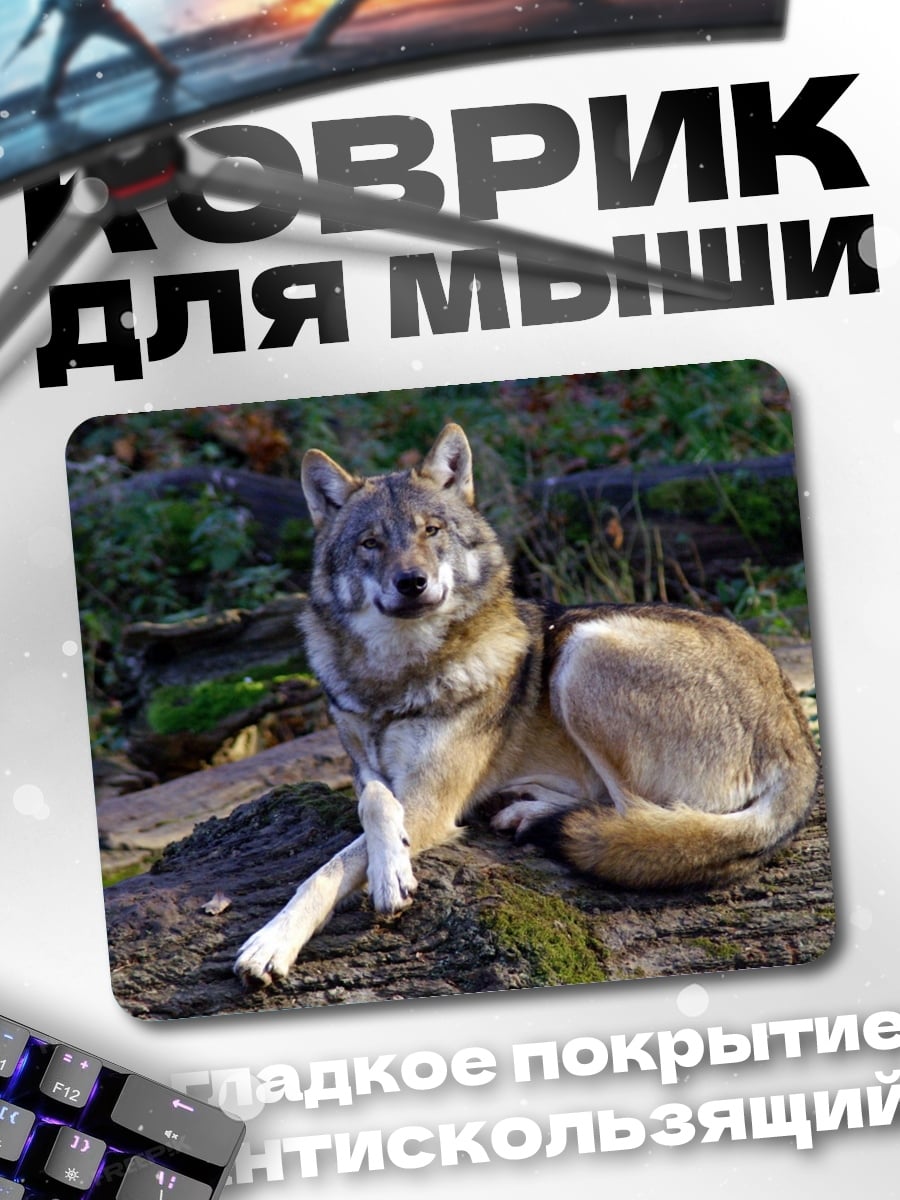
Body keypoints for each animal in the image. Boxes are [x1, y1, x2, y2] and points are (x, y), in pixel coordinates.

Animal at [234, 423, 818, 986]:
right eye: (370, 543)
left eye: (432, 530)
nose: (412, 582)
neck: (396, 676)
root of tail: (798, 738)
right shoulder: (367, 770)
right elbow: (374, 803)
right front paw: (385, 865)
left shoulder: (432, 801)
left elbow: (332, 865)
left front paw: (279, 938)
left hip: (584, 651)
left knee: (637, 818)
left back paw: (534, 813)